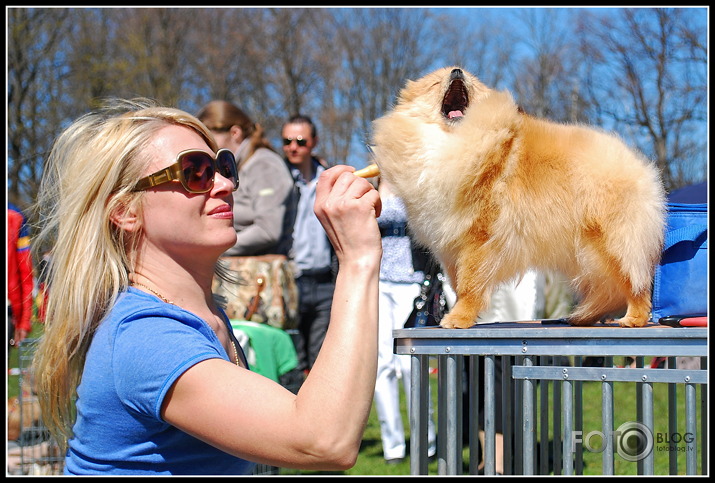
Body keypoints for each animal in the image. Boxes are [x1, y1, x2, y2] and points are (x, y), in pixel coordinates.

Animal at [372, 66, 668, 328]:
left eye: (471, 79)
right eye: (435, 82)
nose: (457, 71)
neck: (454, 140)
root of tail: (640, 167)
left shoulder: (480, 237)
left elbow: (469, 285)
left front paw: (459, 318)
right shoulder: (451, 245)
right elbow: (458, 284)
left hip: (613, 243)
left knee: (634, 284)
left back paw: (633, 318)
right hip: (583, 253)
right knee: (606, 291)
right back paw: (582, 318)